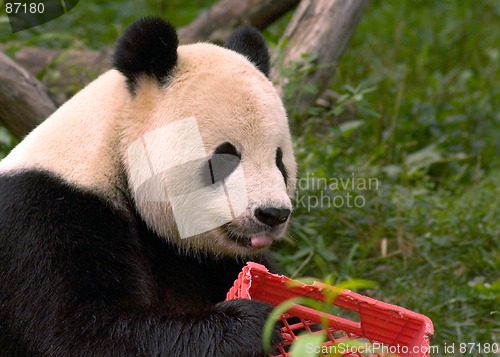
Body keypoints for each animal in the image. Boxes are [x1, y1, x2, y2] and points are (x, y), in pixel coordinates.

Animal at [0, 16, 294, 354]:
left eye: (279, 160)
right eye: (225, 157)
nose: (272, 213)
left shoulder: (206, 259)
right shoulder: (45, 218)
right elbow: (81, 330)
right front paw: (253, 324)